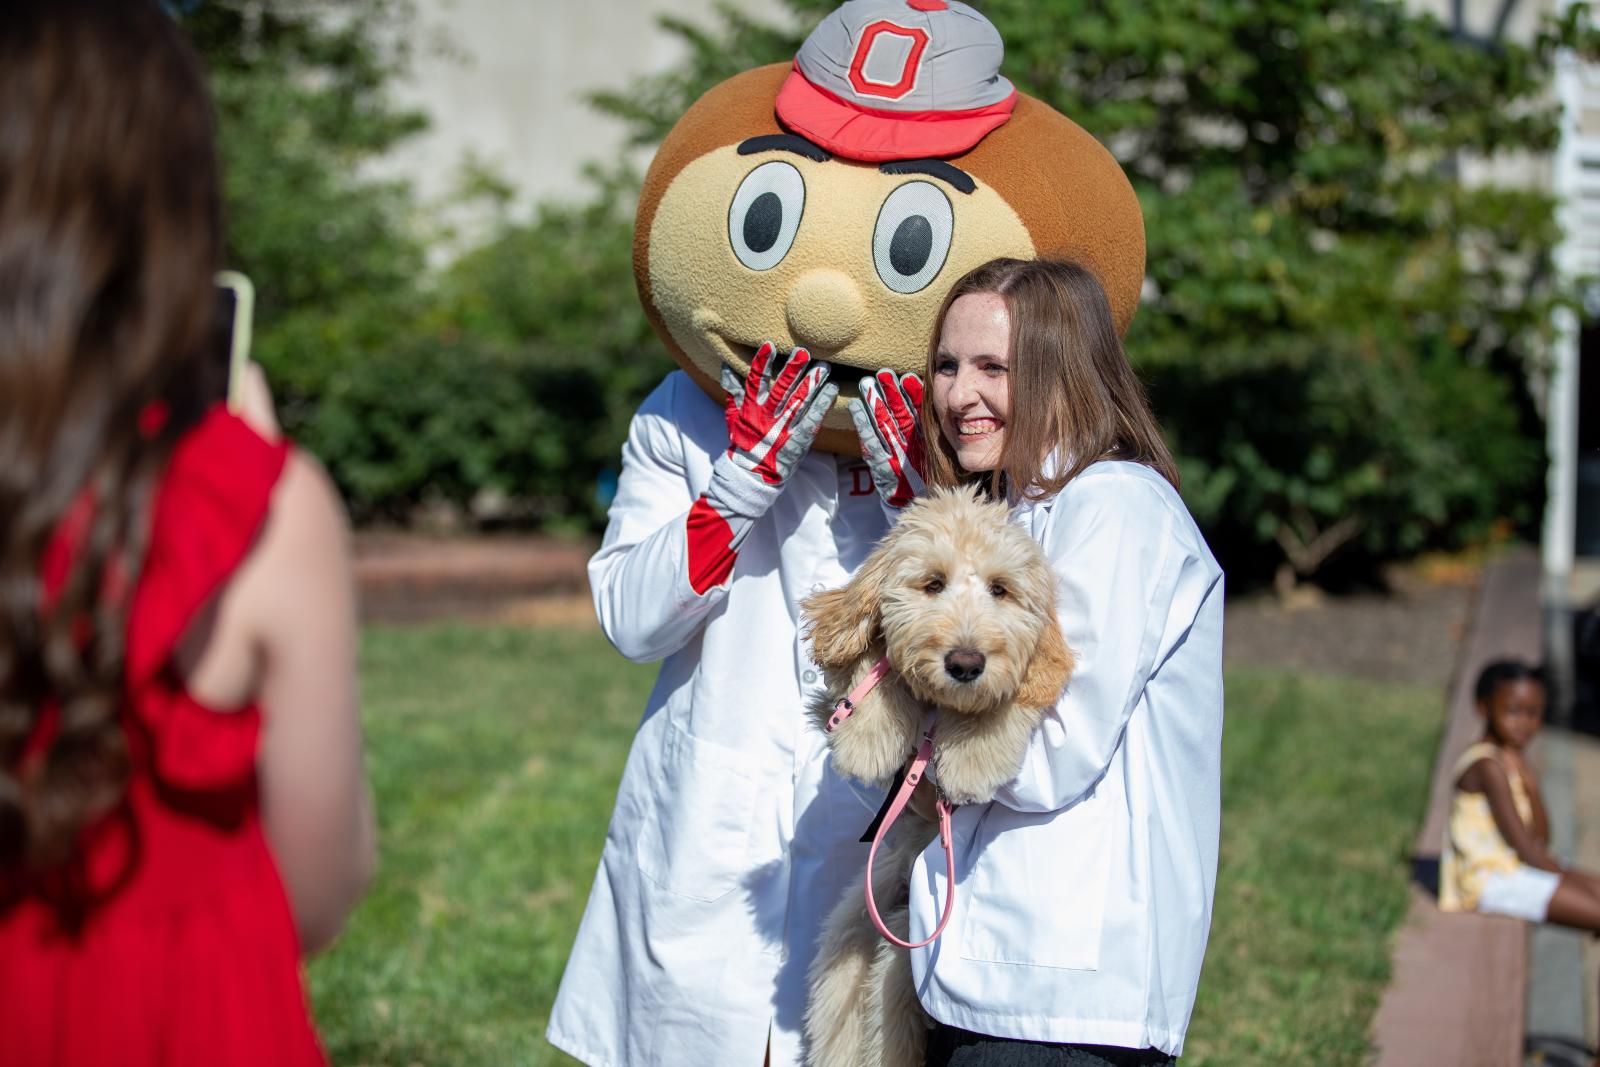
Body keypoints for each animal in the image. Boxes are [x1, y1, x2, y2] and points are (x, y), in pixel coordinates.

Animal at [800, 489, 1075, 1067]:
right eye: (932, 584)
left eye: (1001, 589)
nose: (965, 663)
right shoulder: (833, 681)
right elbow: (875, 667)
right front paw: (867, 739)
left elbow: (1006, 698)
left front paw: (973, 756)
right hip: (851, 935)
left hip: (900, 944)